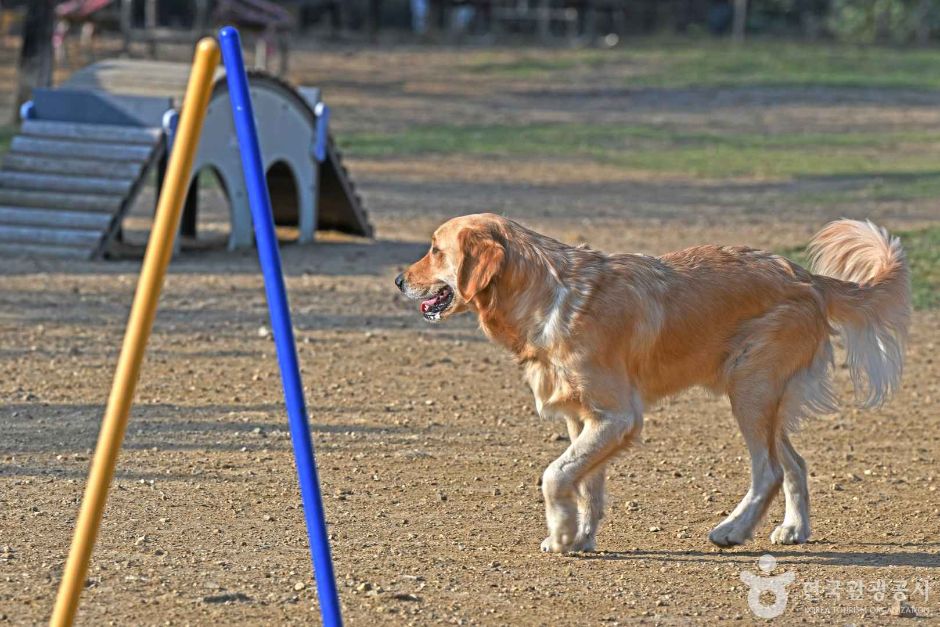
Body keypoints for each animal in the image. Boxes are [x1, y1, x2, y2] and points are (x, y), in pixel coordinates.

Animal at [396, 216, 912, 556]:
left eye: (436, 249)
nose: (399, 279)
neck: (550, 294)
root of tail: (807, 277)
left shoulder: (618, 416)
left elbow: (556, 475)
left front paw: (562, 535)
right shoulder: (585, 419)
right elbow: (586, 484)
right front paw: (581, 536)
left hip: (750, 390)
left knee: (768, 471)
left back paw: (732, 530)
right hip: (765, 399)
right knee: (796, 465)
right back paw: (793, 529)